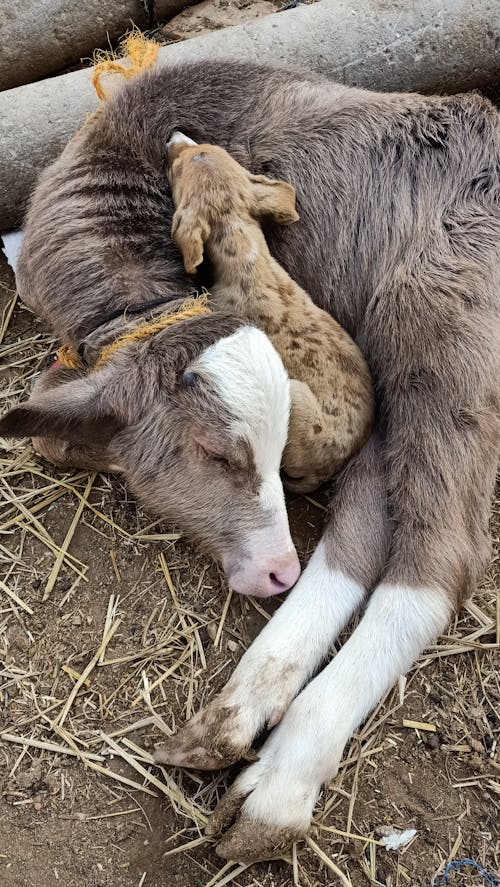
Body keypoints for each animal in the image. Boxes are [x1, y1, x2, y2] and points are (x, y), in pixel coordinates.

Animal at [0, 64, 500, 868]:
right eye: (215, 451)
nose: (274, 571)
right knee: (366, 523)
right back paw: (235, 721)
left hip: (440, 323)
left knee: (437, 549)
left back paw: (280, 786)